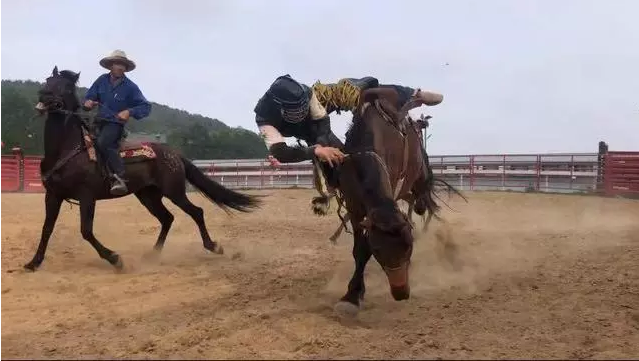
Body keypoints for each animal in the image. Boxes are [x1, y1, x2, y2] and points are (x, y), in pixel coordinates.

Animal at [23, 66, 262, 272]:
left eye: (64, 86)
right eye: (48, 80)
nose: (42, 95)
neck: (67, 150)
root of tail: (174, 153)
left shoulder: (86, 196)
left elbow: (86, 231)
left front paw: (115, 259)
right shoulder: (52, 195)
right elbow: (47, 229)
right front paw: (34, 262)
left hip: (174, 191)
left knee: (196, 212)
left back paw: (213, 246)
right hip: (148, 195)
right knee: (167, 218)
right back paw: (153, 254)